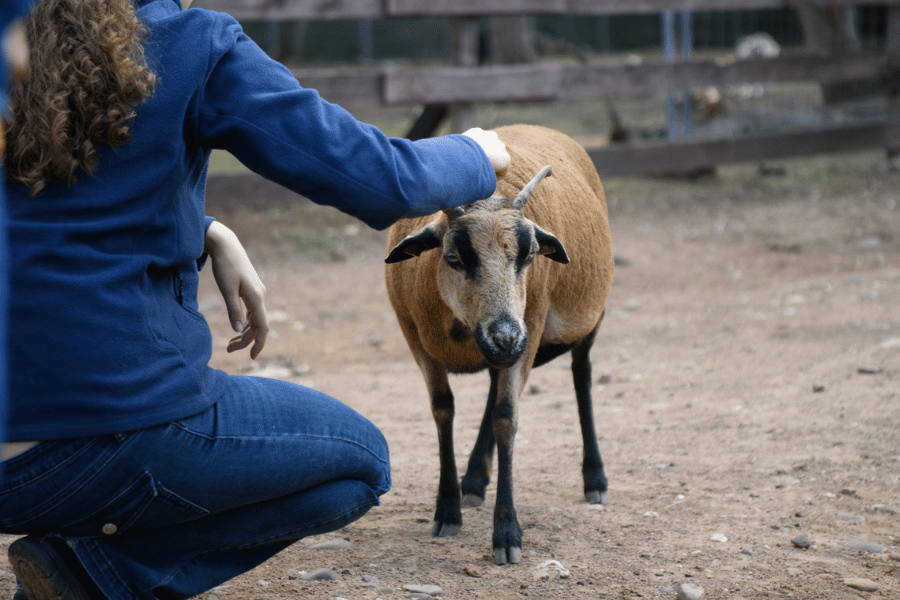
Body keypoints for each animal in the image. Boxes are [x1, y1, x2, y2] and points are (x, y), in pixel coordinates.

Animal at [384, 124, 614, 564]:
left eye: (530, 255)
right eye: (454, 257)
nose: (506, 337)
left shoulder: (531, 326)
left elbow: (506, 419)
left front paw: (507, 533)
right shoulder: (414, 338)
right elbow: (443, 411)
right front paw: (448, 510)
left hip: (589, 317)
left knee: (582, 376)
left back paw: (595, 478)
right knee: (493, 386)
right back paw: (473, 481)